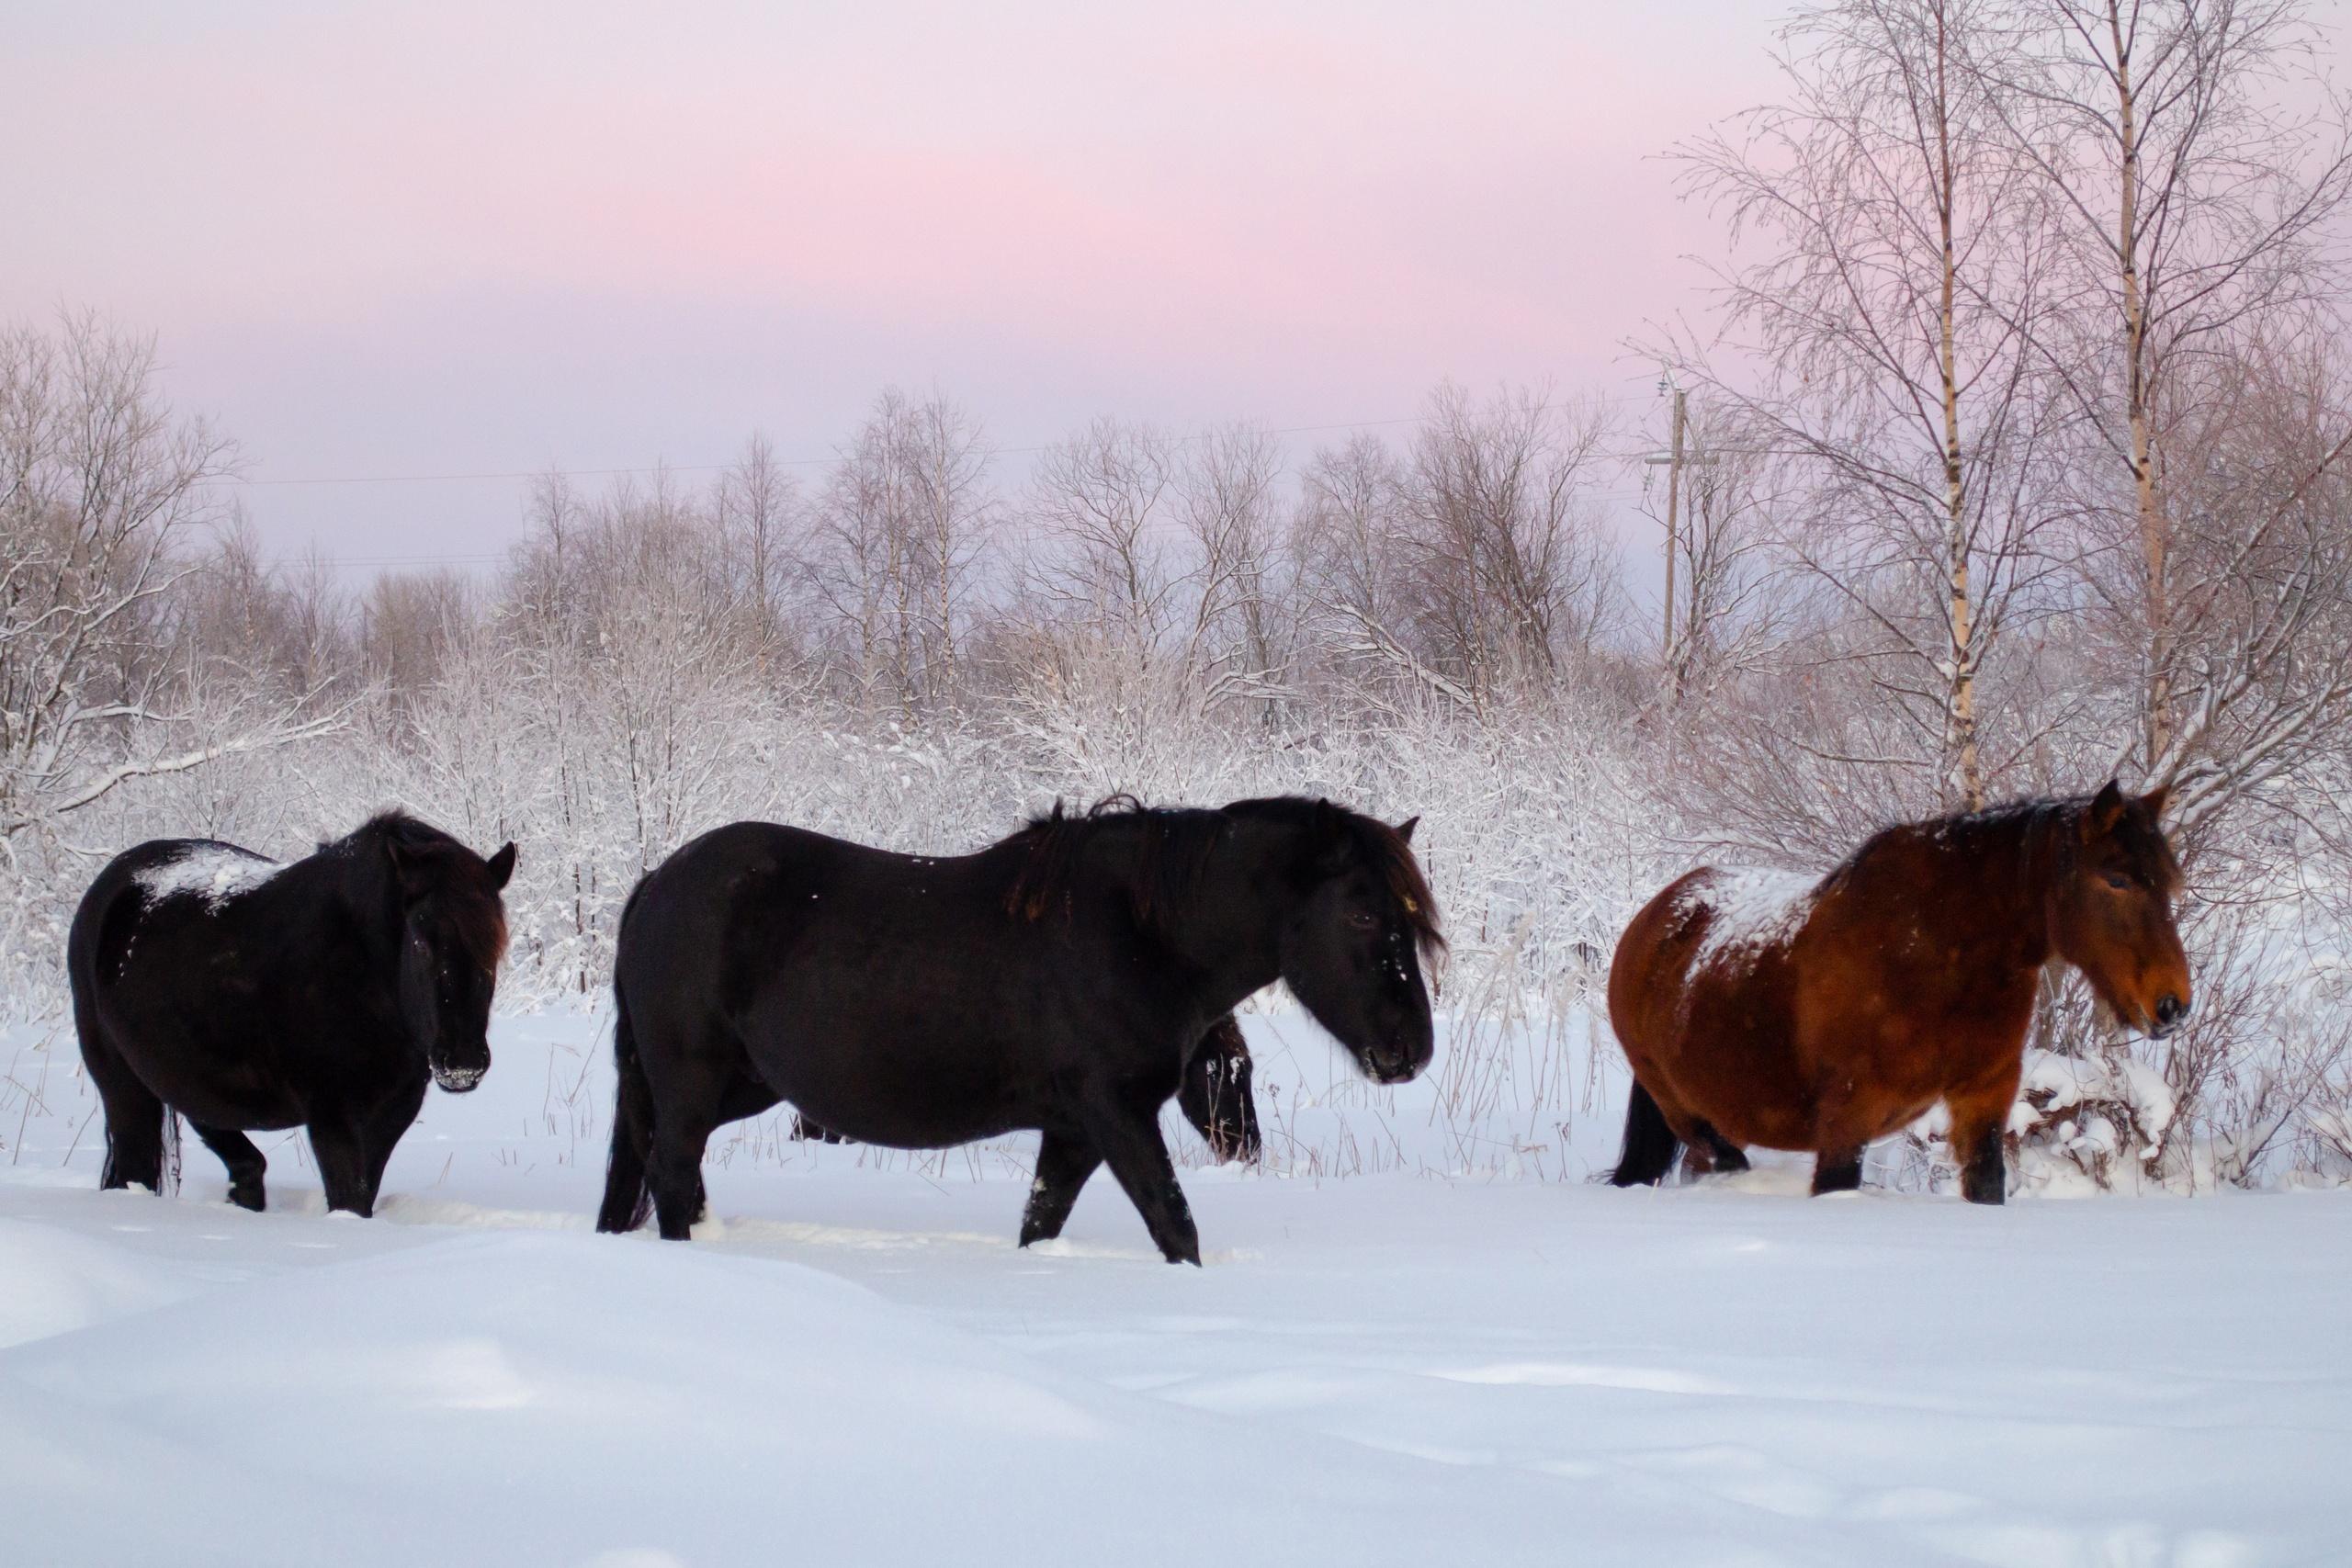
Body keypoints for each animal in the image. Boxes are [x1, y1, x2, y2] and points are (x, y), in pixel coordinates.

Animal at [67, 818, 514, 1222]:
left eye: (495, 943)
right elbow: (349, 1199)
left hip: (186, 1083)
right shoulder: (331, 1114)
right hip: (125, 1090)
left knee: (242, 1162)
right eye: (420, 940)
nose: (462, 1063)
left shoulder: (392, 1113)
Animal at [1609, 780, 2191, 1203]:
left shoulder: (1985, 1096)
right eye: (2116, 880)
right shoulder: (1845, 1121)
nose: (2172, 1005)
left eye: (2169, 882)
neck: (1932, 953)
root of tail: (1653, 918)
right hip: (1686, 1111)